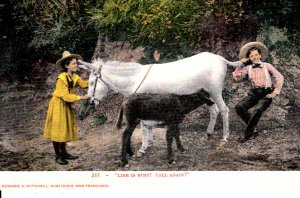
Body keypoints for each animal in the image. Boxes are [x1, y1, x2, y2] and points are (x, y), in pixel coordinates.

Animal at [78, 51, 241, 148]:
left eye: (91, 82)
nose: (90, 101)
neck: (134, 79)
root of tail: (221, 58)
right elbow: (147, 124)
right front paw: (148, 143)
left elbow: (144, 125)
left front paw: (144, 147)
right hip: (207, 93)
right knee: (214, 111)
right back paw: (208, 133)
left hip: (215, 90)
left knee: (224, 110)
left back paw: (225, 137)